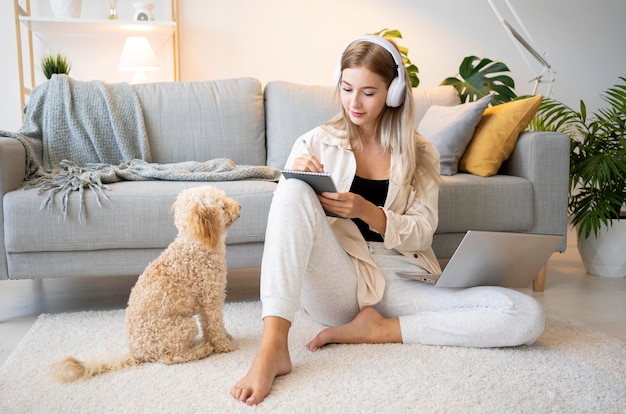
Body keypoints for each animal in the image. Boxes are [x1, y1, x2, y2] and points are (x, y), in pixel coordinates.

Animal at [51, 184, 239, 382]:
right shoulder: (211, 299)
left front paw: (226, 337)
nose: (240, 207)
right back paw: (202, 349)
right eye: (222, 206)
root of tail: (137, 353)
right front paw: (224, 345)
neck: (196, 244)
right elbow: (215, 326)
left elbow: (211, 325)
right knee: (171, 357)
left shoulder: (205, 304)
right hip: (183, 327)